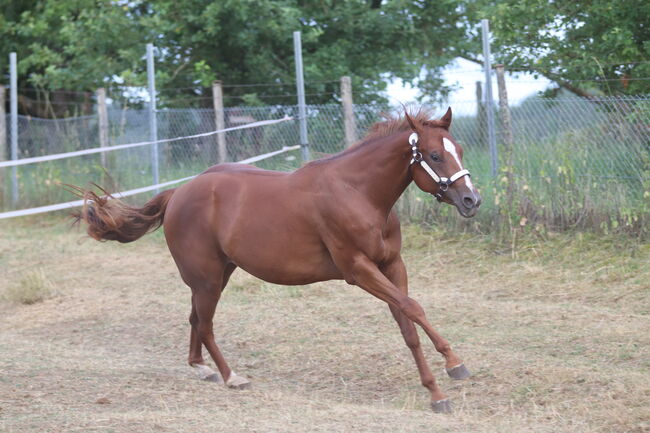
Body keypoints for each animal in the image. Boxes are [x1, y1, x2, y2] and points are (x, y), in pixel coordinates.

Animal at [76, 108, 480, 412]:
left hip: (216, 275)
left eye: (459, 149)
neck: (358, 194)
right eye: (434, 155)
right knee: (205, 324)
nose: (471, 200)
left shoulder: (392, 266)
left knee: (195, 318)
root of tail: (178, 193)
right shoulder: (359, 270)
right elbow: (413, 308)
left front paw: (437, 388)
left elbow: (407, 323)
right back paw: (232, 376)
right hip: (206, 278)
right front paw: (453, 367)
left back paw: (202, 369)